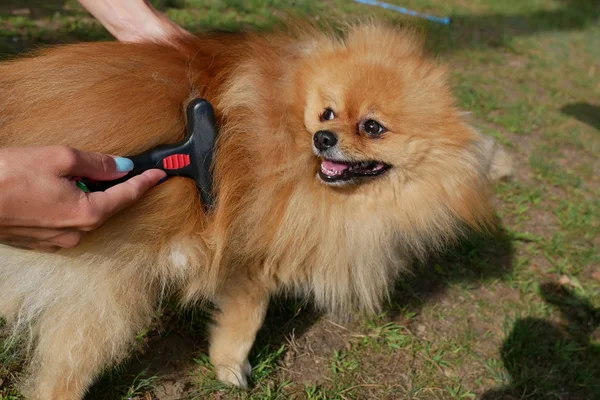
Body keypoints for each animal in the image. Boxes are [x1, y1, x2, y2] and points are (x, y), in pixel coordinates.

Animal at [0, 22, 506, 400]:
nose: (323, 138)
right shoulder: (253, 258)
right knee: (64, 371)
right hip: (106, 293)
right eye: (327, 113)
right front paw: (231, 369)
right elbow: (245, 321)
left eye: (373, 127)